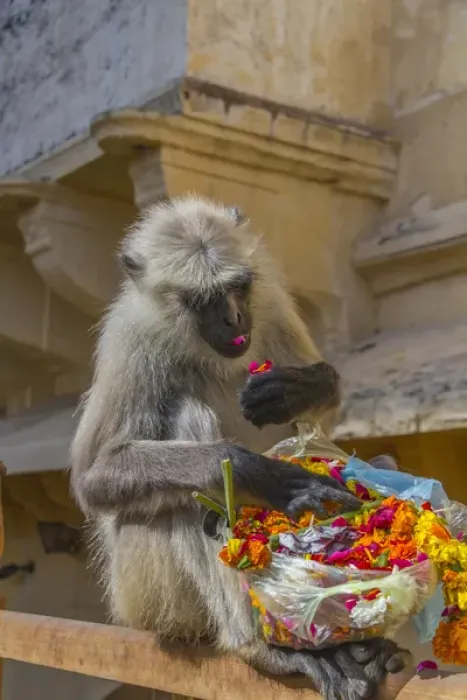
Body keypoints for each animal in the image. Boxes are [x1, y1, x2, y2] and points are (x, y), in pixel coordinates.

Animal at [70, 196, 409, 700]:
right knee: (186, 472)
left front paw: (304, 387)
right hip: (141, 595)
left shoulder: (270, 304)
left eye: (237, 288)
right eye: (201, 301)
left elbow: (322, 418)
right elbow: (94, 479)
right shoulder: (129, 340)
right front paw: (261, 475)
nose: (231, 319)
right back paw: (262, 647)